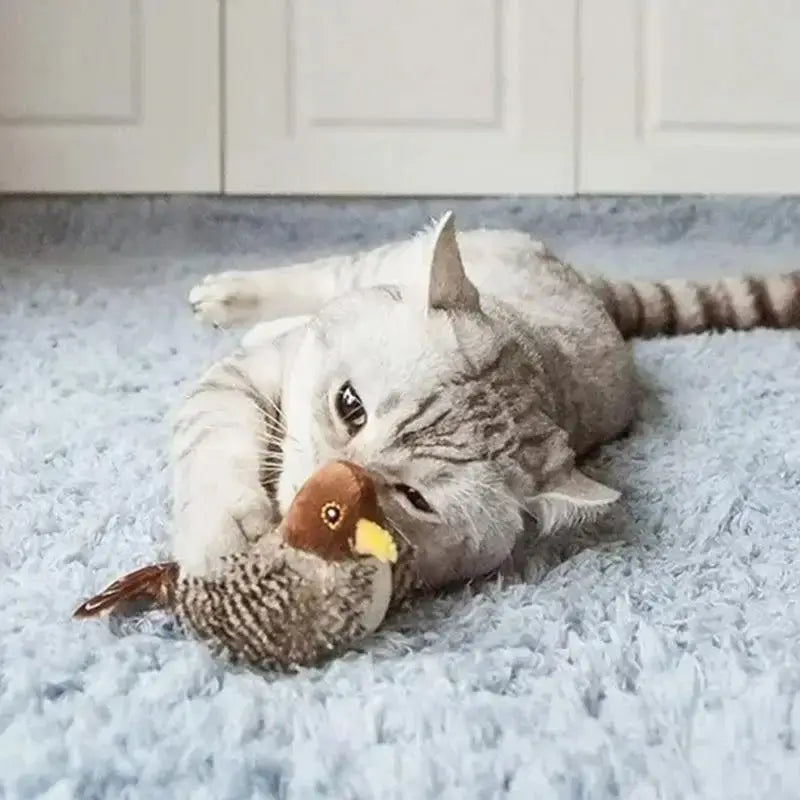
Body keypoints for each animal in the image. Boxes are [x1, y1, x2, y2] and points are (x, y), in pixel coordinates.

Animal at [175, 211, 800, 588]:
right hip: (367, 266)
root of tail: (589, 285)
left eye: (412, 498)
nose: (320, 494)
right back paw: (227, 295)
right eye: (349, 406)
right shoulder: (244, 377)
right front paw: (221, 536)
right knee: (318, 277)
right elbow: (214, 442)